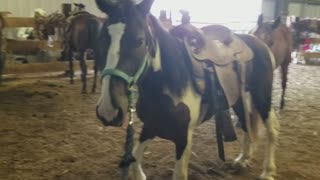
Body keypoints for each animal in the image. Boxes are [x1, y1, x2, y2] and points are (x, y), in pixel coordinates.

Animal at [95, 0, 280, 180]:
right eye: (102, 38)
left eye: (140, 40)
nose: (108, 111)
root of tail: (257, 42)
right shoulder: (151, 126)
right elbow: (134, 160)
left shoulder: (183, 137)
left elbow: (179, 174)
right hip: (238, 99)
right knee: (246, 123)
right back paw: (242, 159)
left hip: (262, 97)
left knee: (271, 129)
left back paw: (268, 172)